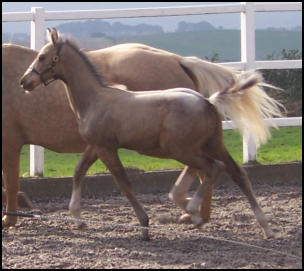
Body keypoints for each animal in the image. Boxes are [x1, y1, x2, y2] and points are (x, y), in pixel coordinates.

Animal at [21, 27, 282, 240]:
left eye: (42, 56)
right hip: (213, 144)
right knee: (236, 173)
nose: (25, 82)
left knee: (214, 168)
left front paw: (145, 225)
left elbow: (123, 183)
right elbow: (78, 172)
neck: (97, 99)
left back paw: (193, 212)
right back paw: (265, 227)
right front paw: (77, 218)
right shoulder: (95, 146)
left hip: (182, 150)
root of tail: (206, 101)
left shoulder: (106, 148)